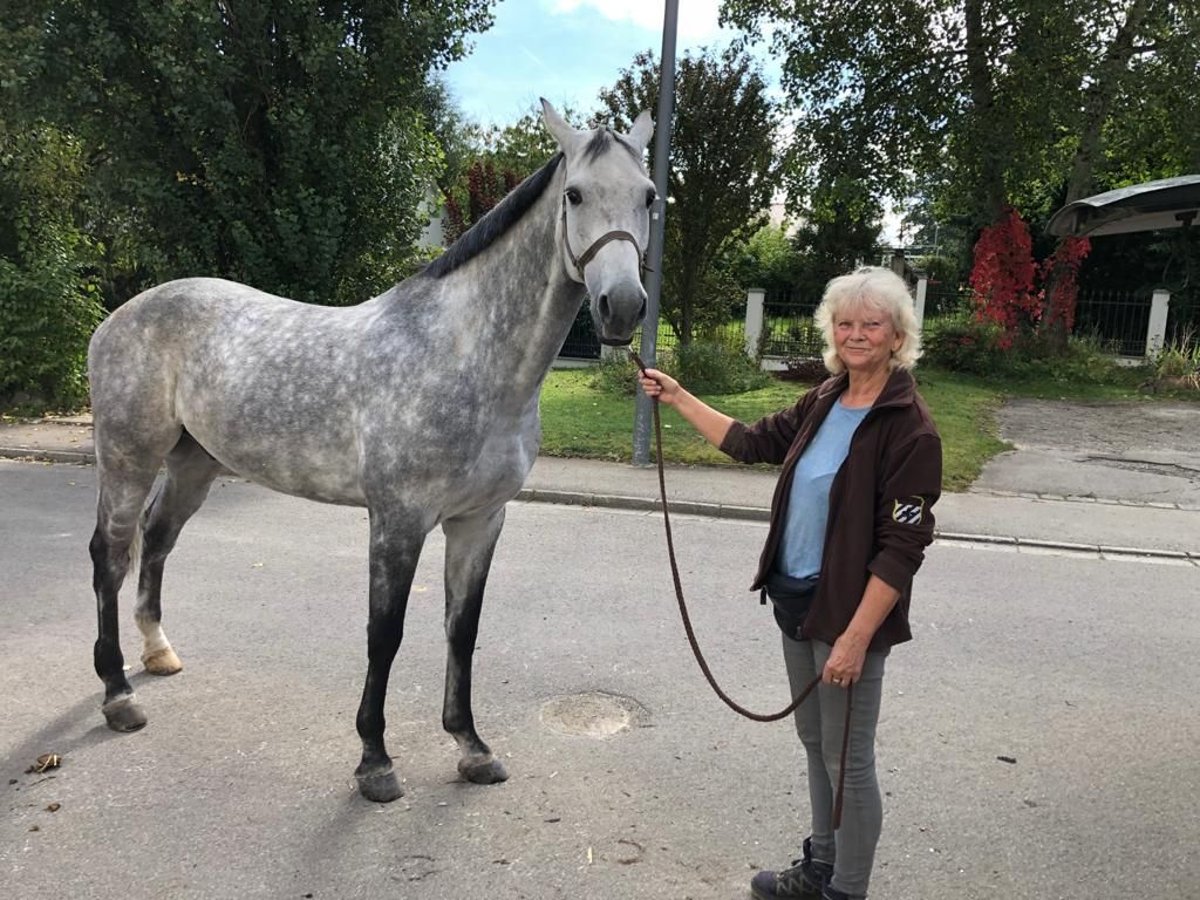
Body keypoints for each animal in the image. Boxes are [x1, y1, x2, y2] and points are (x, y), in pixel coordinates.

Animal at [85, 100, 657, 801]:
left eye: (649, 196)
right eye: (575, 194)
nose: (622, 306)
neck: (465, 358)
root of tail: (118, 317)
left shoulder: (480, 521)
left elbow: (462, 630)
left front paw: (471, 747)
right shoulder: (397, 521)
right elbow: (384, 635)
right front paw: (375, 761)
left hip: (194, 464)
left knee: (158, 538)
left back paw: (158, 652)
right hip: (127, 459)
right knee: (110, 556)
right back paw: (117, 694)